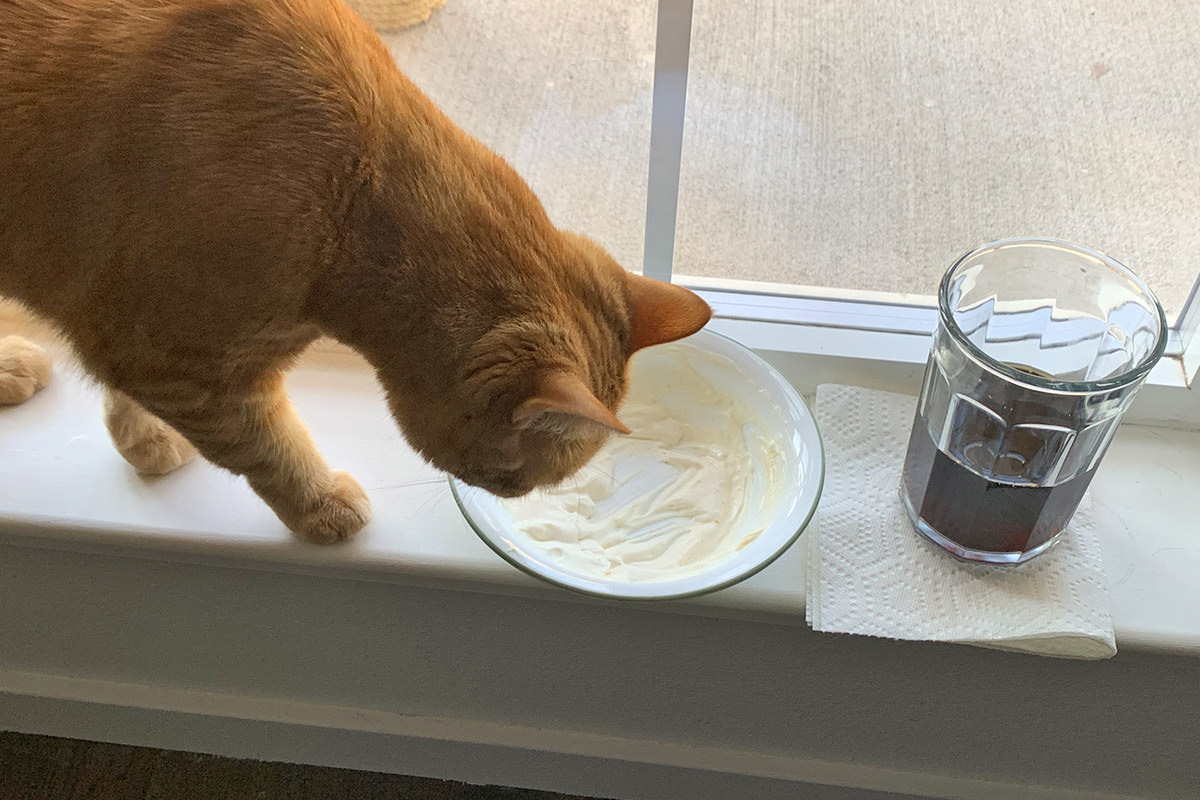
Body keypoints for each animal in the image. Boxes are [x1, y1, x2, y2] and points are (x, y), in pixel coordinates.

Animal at [0, 0, 705, 544]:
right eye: (515, 476)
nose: (512, 497)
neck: (354, 190)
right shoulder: (175, 362)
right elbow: (266, 446)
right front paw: (319, 506)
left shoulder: (126, 332)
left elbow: (121, 393)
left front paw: (143, 439)